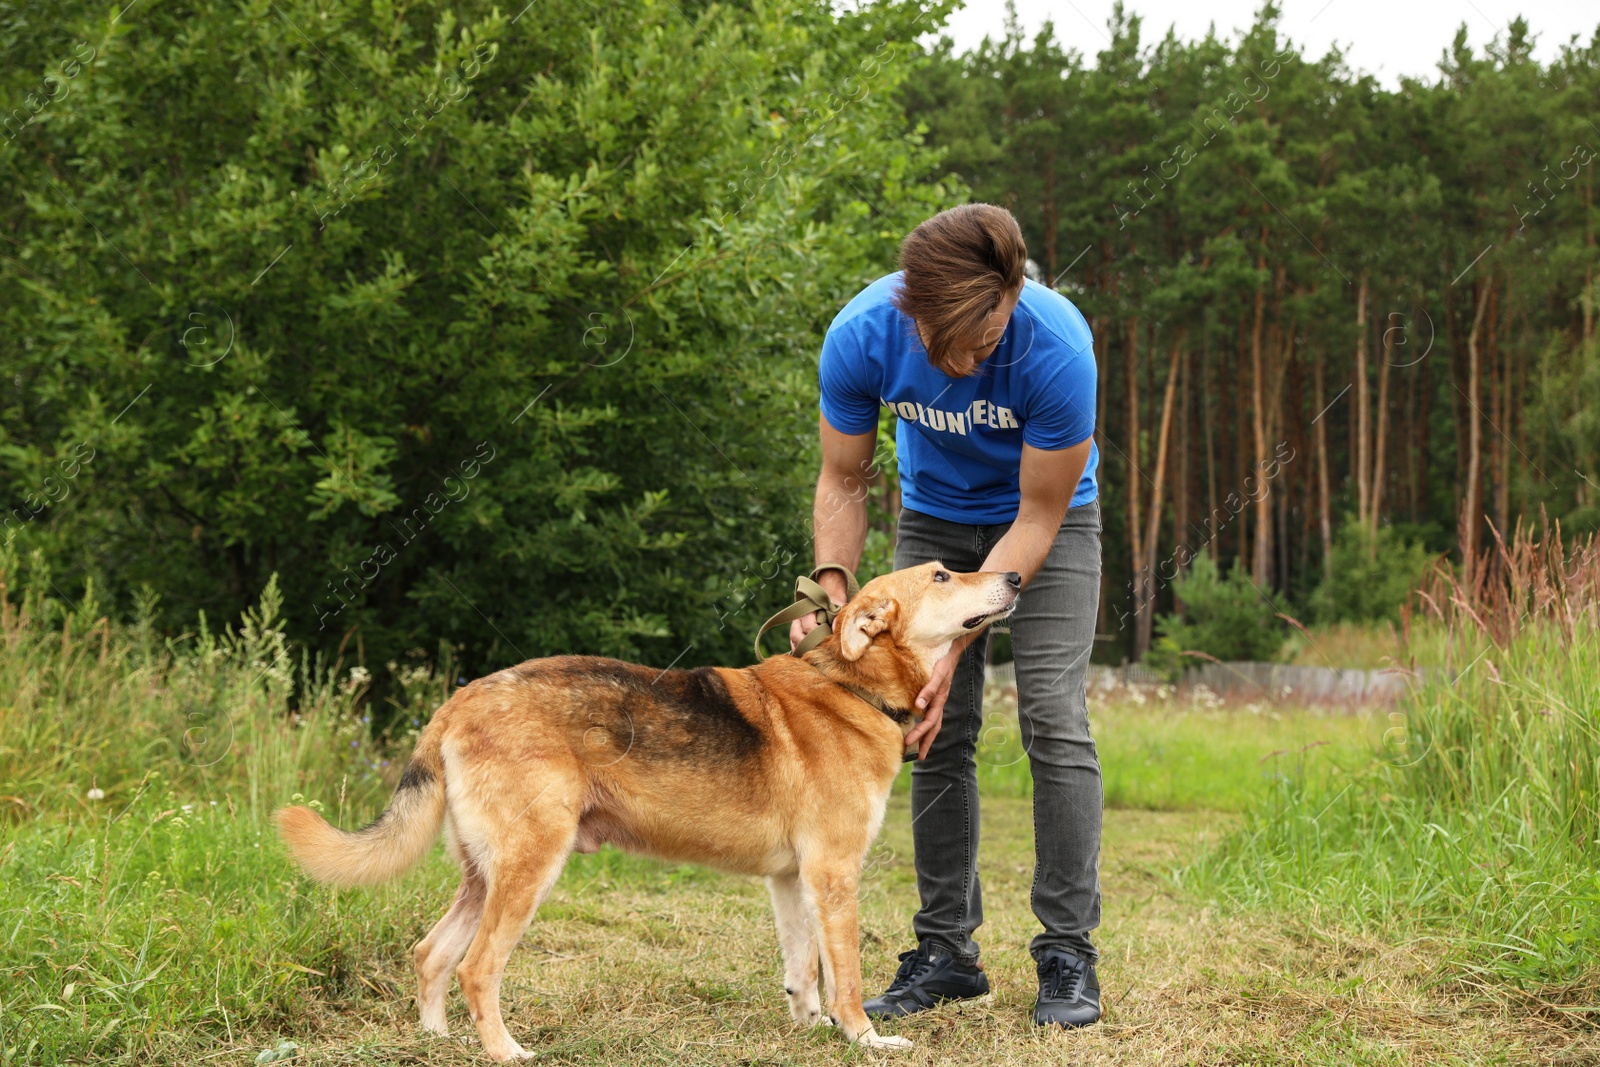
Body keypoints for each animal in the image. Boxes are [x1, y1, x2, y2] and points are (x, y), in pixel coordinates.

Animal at [276, 559, 1017, 1062]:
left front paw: (811, 1028)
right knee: (475, 967)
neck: (849, 685)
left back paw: (439, 1043)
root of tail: (460, 701)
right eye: (943, 574)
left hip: (485, 874)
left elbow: (803, 970)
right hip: (531, 867)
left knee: (431, 955)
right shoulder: (834, 876)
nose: (1012, 573)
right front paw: (864, 1037)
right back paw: (506, 1051)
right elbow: (846, 978)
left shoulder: (792, 881)